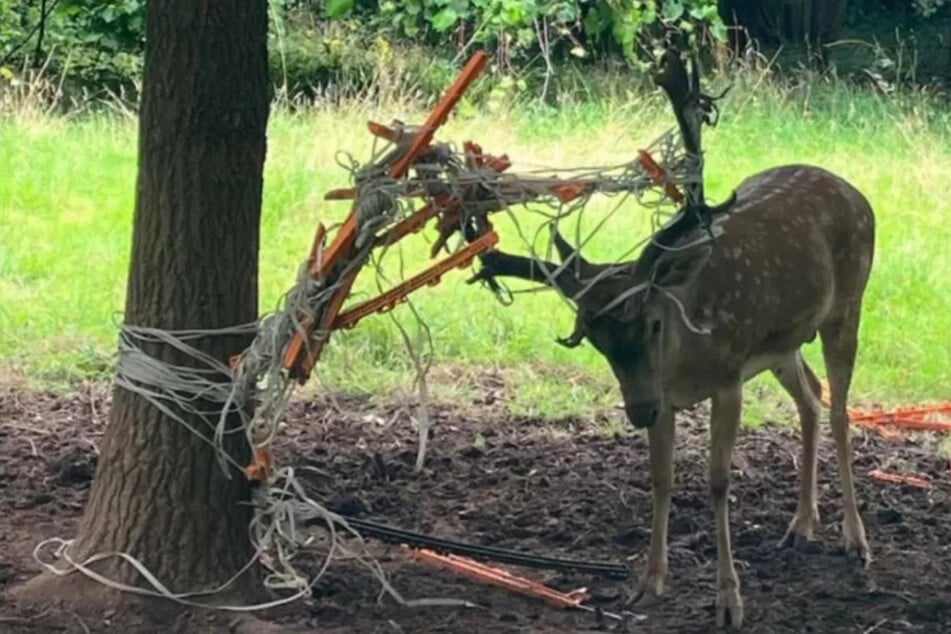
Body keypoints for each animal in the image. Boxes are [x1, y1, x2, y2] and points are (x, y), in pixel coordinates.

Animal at [474, 50, 876, 628]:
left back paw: (855, 539)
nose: (637, 410)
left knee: (843, 408)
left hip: (848, 305)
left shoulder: (729, 375)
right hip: (781, 345)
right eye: (593, 338)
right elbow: (661, 478)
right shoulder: (667, 394)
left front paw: (729, 600)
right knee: (812, 396)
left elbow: (717, 480)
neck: (685, 362)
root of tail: (856, 192)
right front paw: (648, 583)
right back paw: (801, 525)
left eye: (653, 322)